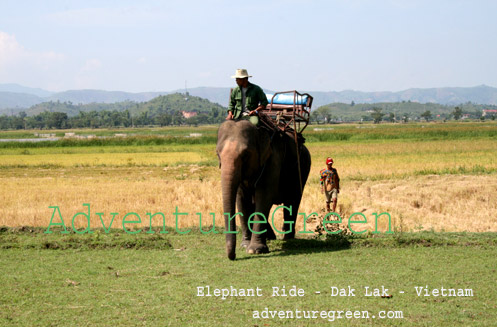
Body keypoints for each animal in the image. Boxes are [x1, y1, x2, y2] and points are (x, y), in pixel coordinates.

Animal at [214, 120, 308, 262]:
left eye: (245, 155)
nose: (233, 256)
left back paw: (287, 238)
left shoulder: (273, 159)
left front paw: (254, 250)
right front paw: (245, 245)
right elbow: (242, 200)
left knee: (292, 201)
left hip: (301, 170)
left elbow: (263, 196)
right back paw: (271, 237)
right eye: (218, 154)